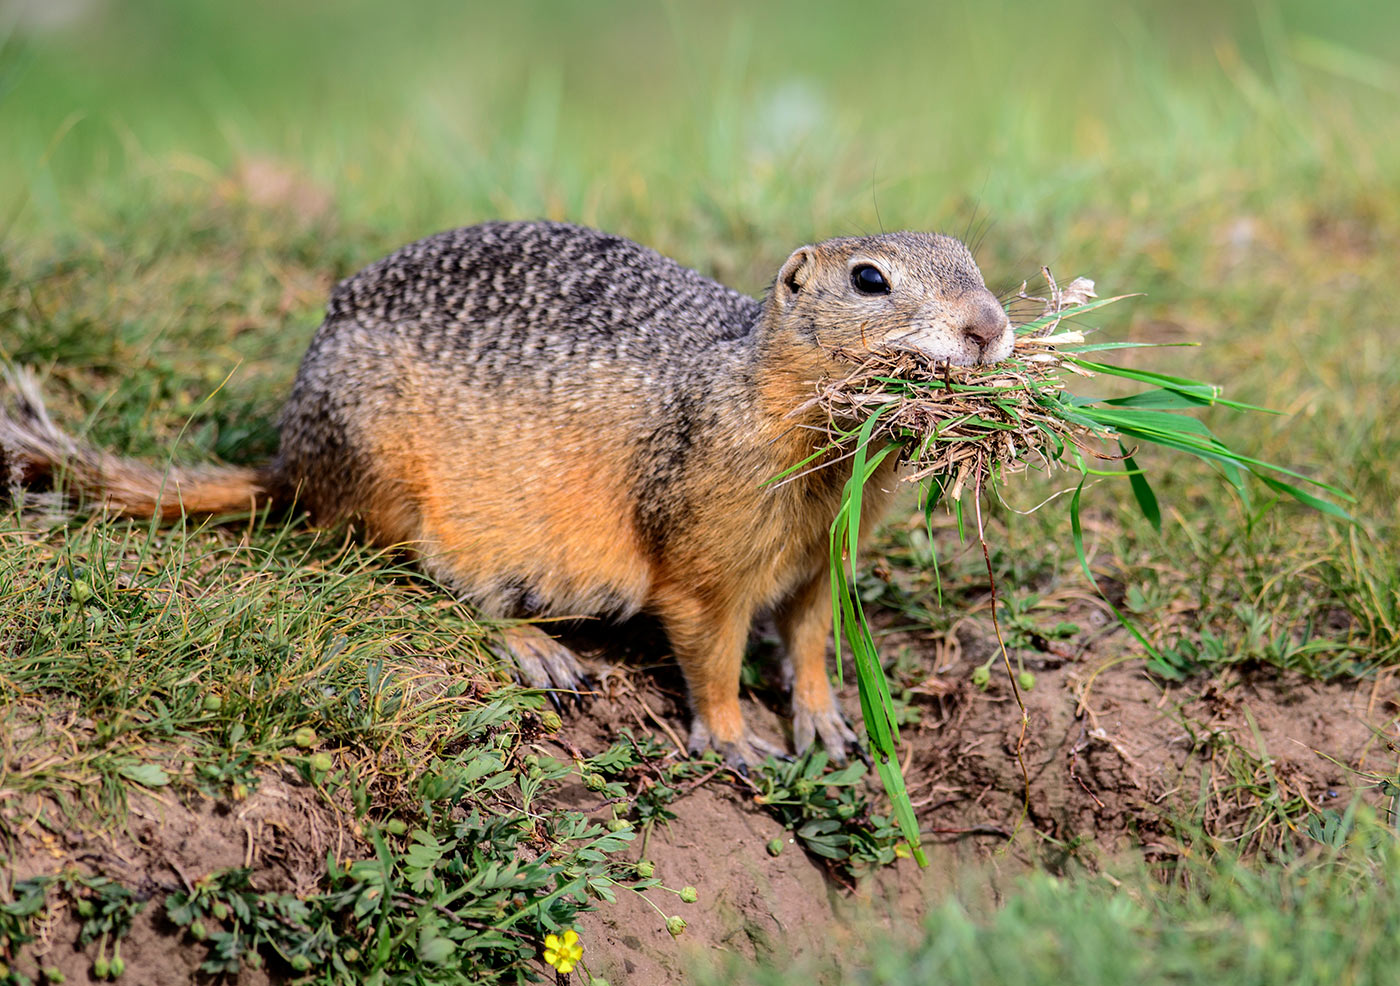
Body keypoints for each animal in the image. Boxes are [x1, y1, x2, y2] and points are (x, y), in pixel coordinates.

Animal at [0, 225, 1013, 773]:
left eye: (971, 259)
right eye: (869, 280)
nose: (991, 328)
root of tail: (290, 461)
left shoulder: (822, 558)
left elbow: (808, 639)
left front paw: (829, 723)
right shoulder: (704, 560)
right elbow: (713, 655)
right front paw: (733, 739)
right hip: (402, 496)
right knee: (415, 576)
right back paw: (536, 648)